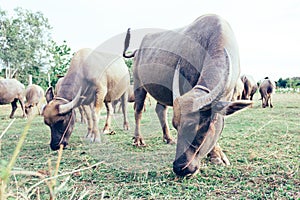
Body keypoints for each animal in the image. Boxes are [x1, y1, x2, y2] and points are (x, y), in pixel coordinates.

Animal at [123, 14, 252, 177]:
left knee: (160, 110)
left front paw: (217, 155)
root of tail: (138, 51)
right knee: (138, 110)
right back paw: (138, 140)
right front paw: (216, 155)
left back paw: (168, 138)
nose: (179, 168)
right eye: (176, 125)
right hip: (138, 84)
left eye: (192, 127)